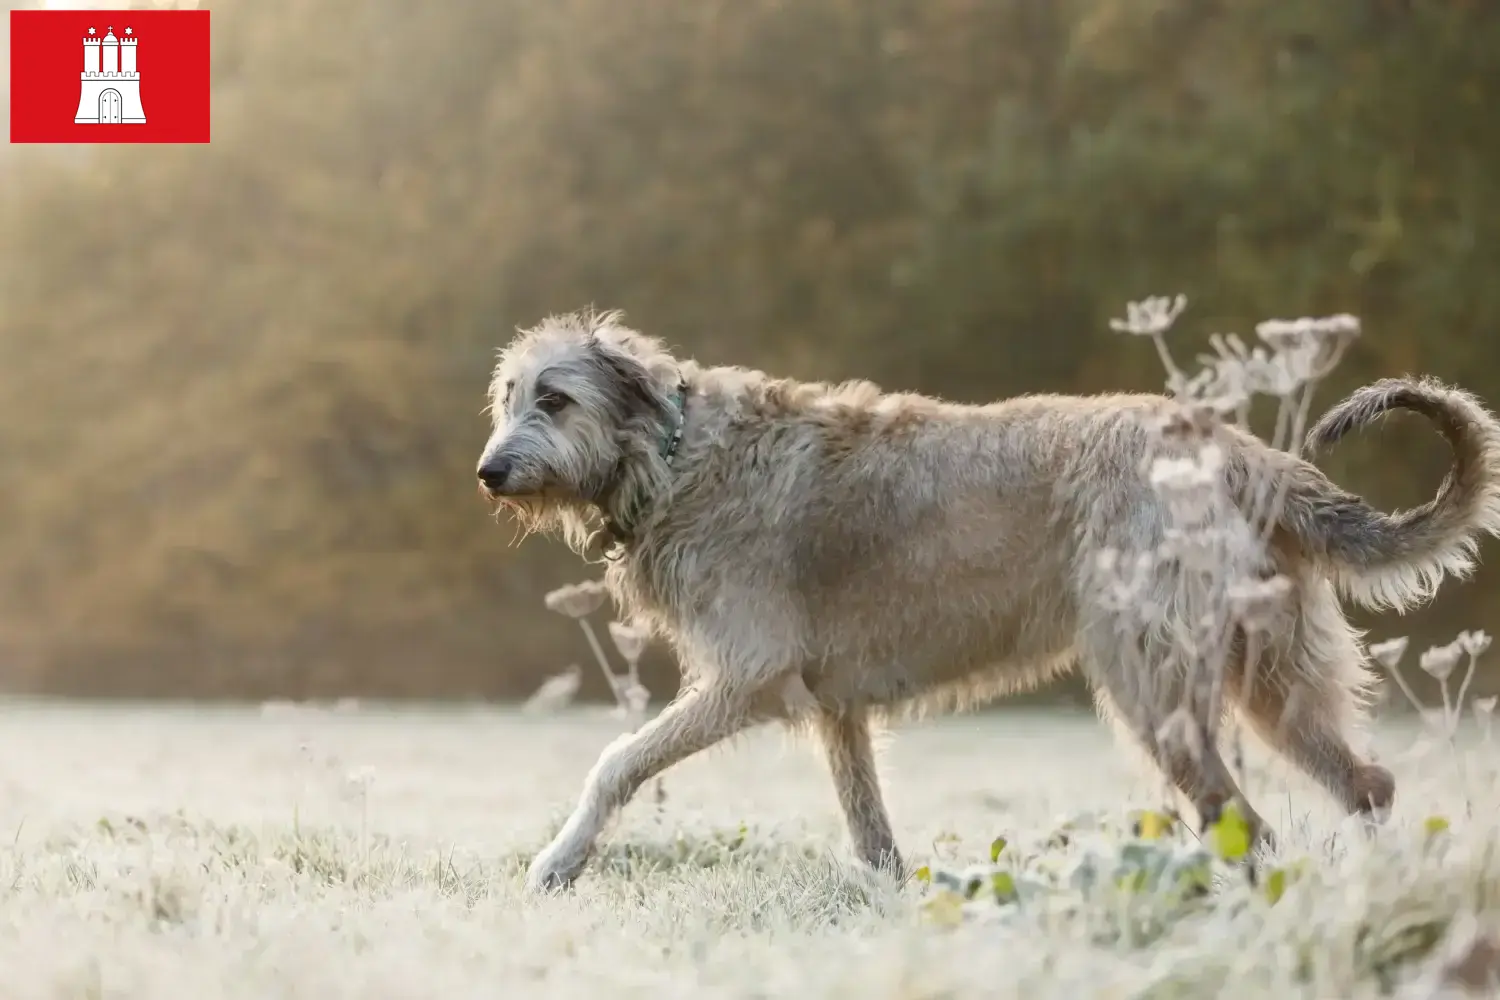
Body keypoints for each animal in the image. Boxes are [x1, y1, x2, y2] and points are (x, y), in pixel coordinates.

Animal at [477, 310, 1500, 893]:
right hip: (1275, 683)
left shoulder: (746, 677)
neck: (675, 450)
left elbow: (615, 763)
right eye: (508, 397)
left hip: (1154, 686)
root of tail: (1244, 453)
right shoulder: (837, 707)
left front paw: (556, 863)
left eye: (555, 398)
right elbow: (871, 829)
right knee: (1367, 784)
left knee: (1244, 822)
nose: (488, 472)